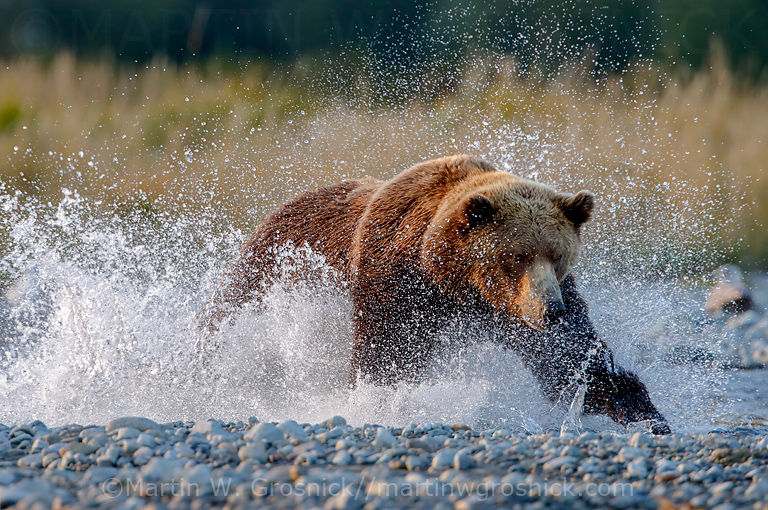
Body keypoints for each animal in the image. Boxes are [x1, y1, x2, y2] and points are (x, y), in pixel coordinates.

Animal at [202, 155, 670, 434]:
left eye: (558, 256)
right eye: (517, 256)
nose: (550, 310)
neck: (453, 281)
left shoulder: (518, 313)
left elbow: (574, 363)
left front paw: (649, 416)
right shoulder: (395, 283)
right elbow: (386, 355)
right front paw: (382, 404)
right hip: (268, 276)